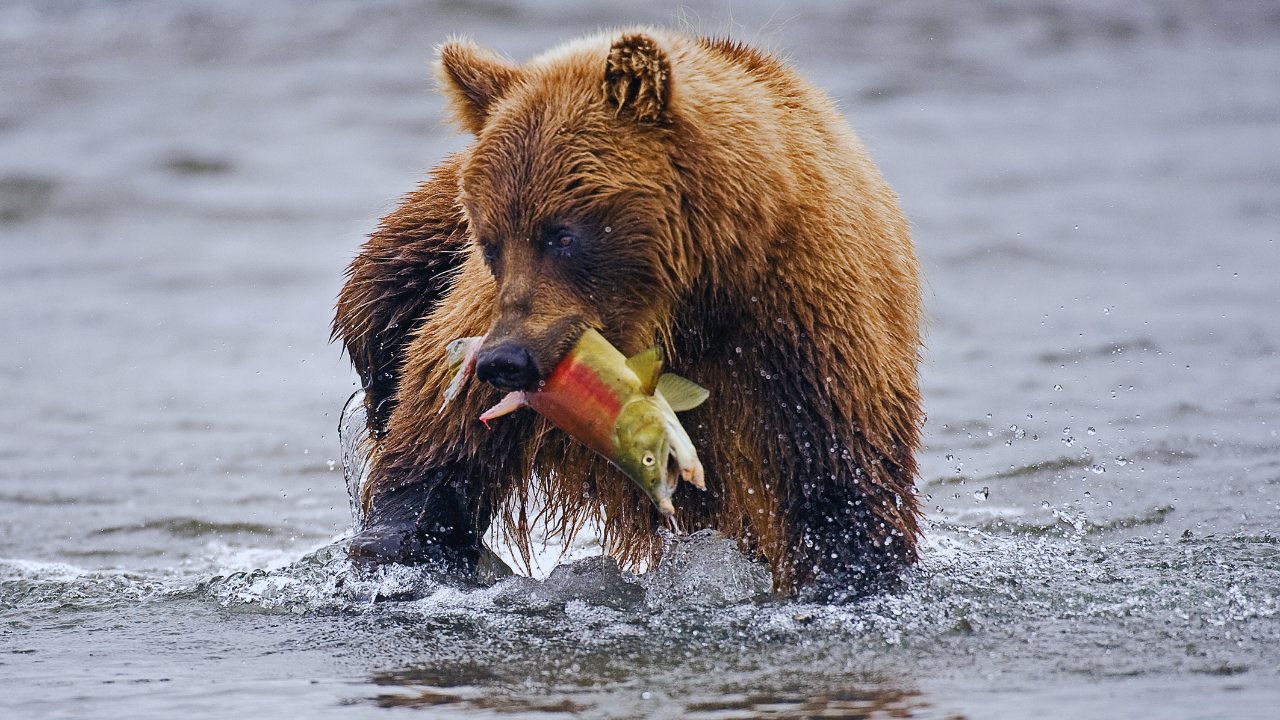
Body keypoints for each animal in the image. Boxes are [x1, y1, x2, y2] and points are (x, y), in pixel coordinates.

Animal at [335, 28, 926, 597]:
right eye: (490, 241)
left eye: (562, 234)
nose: (506, 361)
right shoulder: (488, 323)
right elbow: (438, 453)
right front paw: (401, 550)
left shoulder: (804, 322)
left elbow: (840, 483)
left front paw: (849, 573)